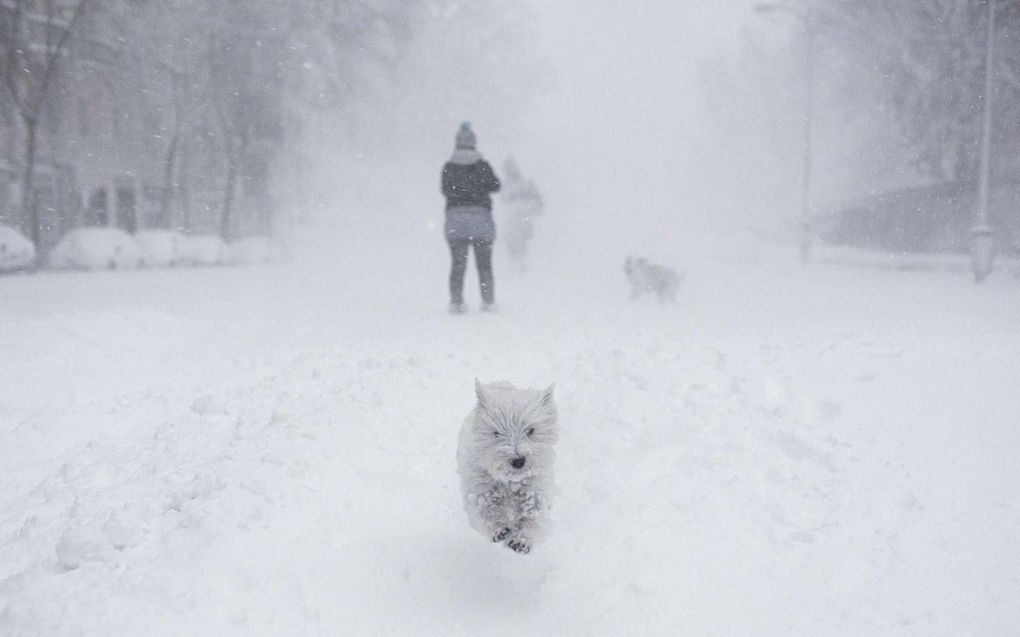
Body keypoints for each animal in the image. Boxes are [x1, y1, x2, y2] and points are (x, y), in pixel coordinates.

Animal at [461, 377, 563, 550]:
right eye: (496, 433)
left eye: (531, 430)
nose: (518, 461)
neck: (510, 482)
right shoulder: (479, 490)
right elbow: (485, 511)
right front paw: (499, 530)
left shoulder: (536, 488)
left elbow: (533, 514)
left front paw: (521, 540)